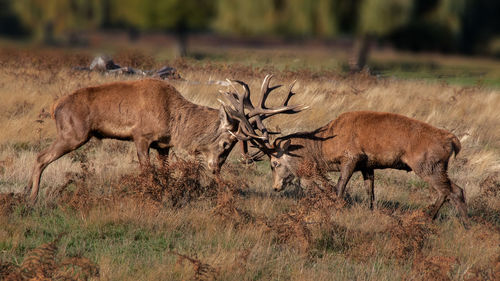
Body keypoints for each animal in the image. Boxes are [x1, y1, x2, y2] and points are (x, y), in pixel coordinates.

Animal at [230, 84, 468, 220]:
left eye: (274, 163)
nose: (276, 187)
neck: (325, 147)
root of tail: (453, 141)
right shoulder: (368, 165)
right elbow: (370, 193)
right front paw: (370, 213)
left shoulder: (352, 157)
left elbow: (339, 187)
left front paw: (336, 209)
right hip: (437, 166)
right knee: (455, 189)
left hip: (427, 164)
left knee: (450, 191)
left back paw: (445, 221)